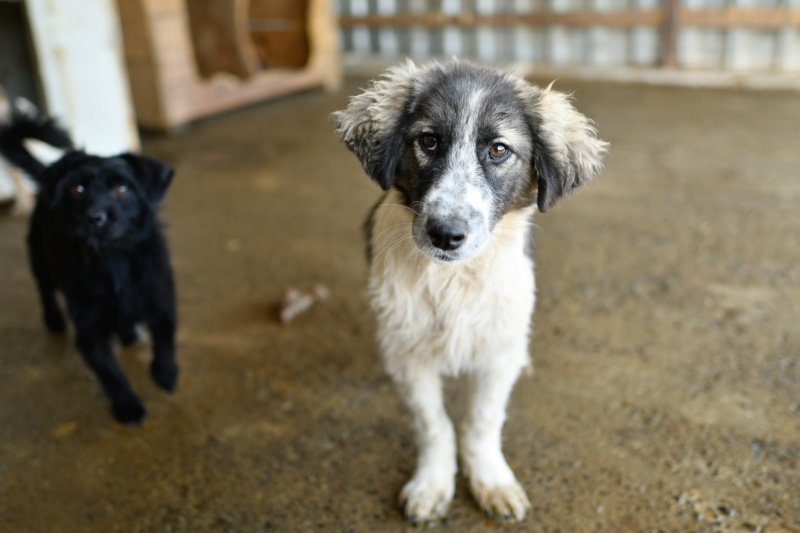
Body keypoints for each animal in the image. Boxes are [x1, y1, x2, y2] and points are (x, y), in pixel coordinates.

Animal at [0, 105, 178, 424]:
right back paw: (54, 321)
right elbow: (110, 373)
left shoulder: (161, 298)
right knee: (45, 291)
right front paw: (127, 406)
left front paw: (165, 373)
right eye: (78, 189)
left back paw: (129, 335)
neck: (113, 260)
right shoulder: (89, 330)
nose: (94, 217)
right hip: (40, 262)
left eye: (122, 188)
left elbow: (165, 337)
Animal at [332, 60, 608, 520]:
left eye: (498, 150)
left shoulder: (500, 348)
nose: (445, 234)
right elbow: (434, 423)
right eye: (428, 141)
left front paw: (491, 481)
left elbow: (483, 420)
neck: (454, 279)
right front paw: (432, 483)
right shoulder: (409, 353)